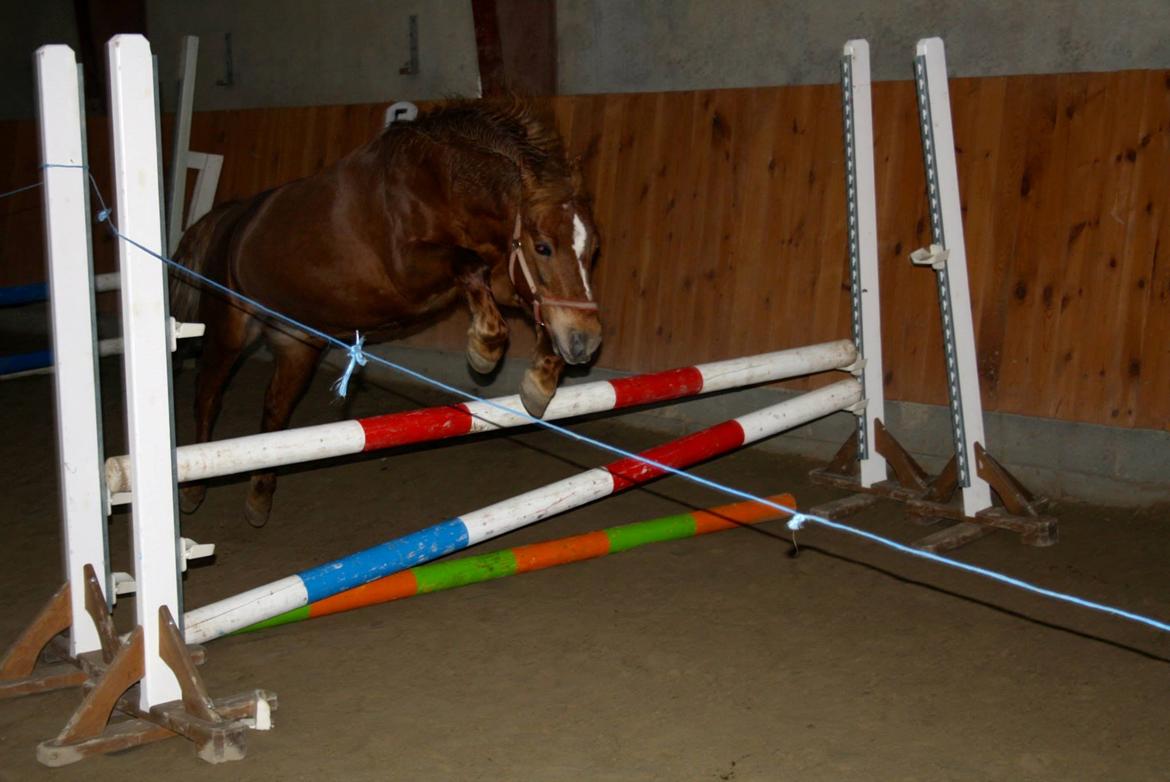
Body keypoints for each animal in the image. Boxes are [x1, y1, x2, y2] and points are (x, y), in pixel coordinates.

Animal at [170, 98, 604, 527]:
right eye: (543, 247)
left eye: (593, 249)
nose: (587, 342)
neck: (440, 186)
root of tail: (228, 217)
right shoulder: (408, 272)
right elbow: (471, 267)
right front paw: (485, 349)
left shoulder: (502, 277)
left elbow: (528, 302)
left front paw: (540, 381)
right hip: (228, 330)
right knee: (208, 396)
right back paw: (192, 490)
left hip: (297, 345)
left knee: (275, 411)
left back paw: (259, 498)